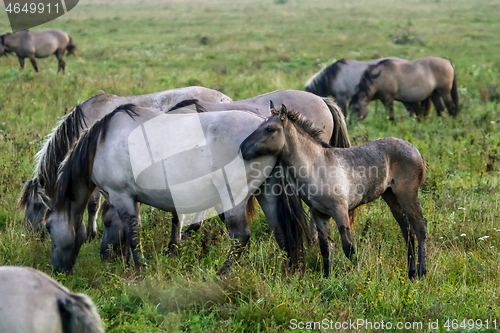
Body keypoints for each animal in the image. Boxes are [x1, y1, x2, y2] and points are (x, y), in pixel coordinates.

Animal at [38, 105, 308, 272]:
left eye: (48, 226)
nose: (56, 270)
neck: (102, 143)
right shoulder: (129, 198)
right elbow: (124, 228)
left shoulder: (121, 195)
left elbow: (132, 233)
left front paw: (139, 270)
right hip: (267, 194)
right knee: (280, 230)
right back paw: (289, 270)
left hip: (233, 197)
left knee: (240, 236)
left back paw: (223, 274)